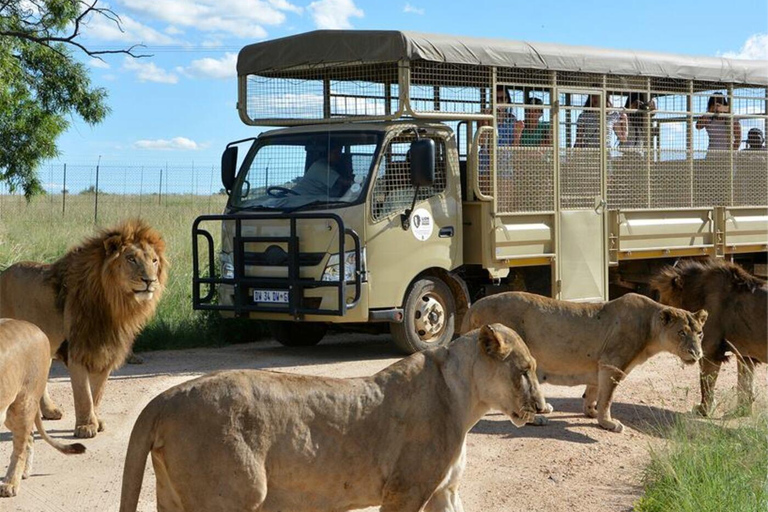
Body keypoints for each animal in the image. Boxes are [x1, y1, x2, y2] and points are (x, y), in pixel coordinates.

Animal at [0, 218, 167, 438]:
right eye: (131, 259)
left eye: (154, 261)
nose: (150, 280)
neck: (115, 305)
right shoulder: (77, 350)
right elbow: (83, 394)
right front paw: (86, 427)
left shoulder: (106, 351)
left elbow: (97, 393)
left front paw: (96, 421)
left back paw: (49, 411)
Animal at [0, 320, 85, 496]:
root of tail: (36, 328)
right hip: (10, 412)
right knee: (29, 437)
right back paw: (24, 474)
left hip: (24, 404)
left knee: (20, 447)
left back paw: (11, 483)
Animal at [120, 324, 544, 512]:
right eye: (525, 370)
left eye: (536, 369)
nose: (544, 408)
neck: (466, 399)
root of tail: (162, 399)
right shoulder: (405, 491)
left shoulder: (444, 491)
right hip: (237, 495)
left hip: (173, 497)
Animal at [460, 292, 704, 432]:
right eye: (682, 333)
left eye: (700, 333)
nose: (698, 353)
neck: (650, 327)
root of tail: (473, 307)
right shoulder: (612, 364)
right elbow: (607, 398)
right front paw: (608, 423)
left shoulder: (599, 365)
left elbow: (594, 392)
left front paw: (591, 412)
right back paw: (537, 419)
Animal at [652, 258, 764, 418]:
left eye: (663, 304)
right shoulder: (745, 355)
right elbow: (745, 385)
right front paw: (742, 412)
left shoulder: (709, 350)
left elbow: (706, 383)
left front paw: (703, 410)